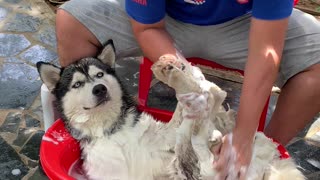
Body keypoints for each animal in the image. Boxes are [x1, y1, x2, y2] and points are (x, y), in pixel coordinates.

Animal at [37, 40, 304, 179]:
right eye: (77, 84)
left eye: (100, 75)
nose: (100, 89)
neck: (113, 129)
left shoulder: (162, 137)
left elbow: (178, 122)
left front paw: (183, 76)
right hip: (193, 171)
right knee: (200, 127)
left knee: (209, 104)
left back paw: (182, 77)